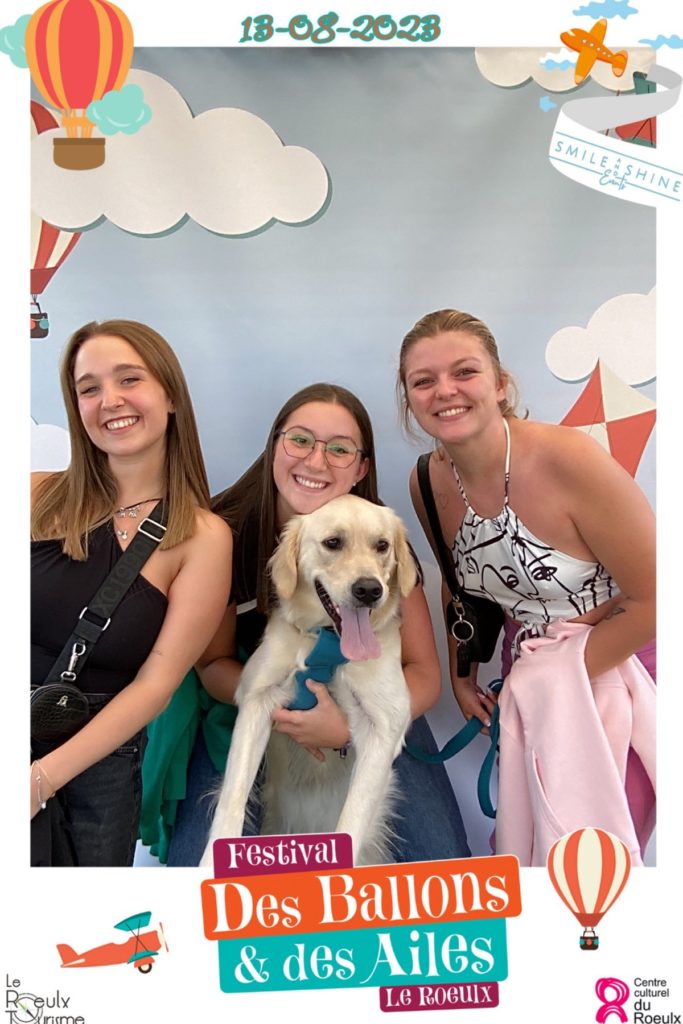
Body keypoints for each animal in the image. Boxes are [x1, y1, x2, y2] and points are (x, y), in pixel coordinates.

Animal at [200, 494, 417, 867]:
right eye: (333, 543)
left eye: (382, 546)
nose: (369, 590)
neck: (326, 639)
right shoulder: (256, 698)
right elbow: (232, 799)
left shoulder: (386, 726)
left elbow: (350, 824)